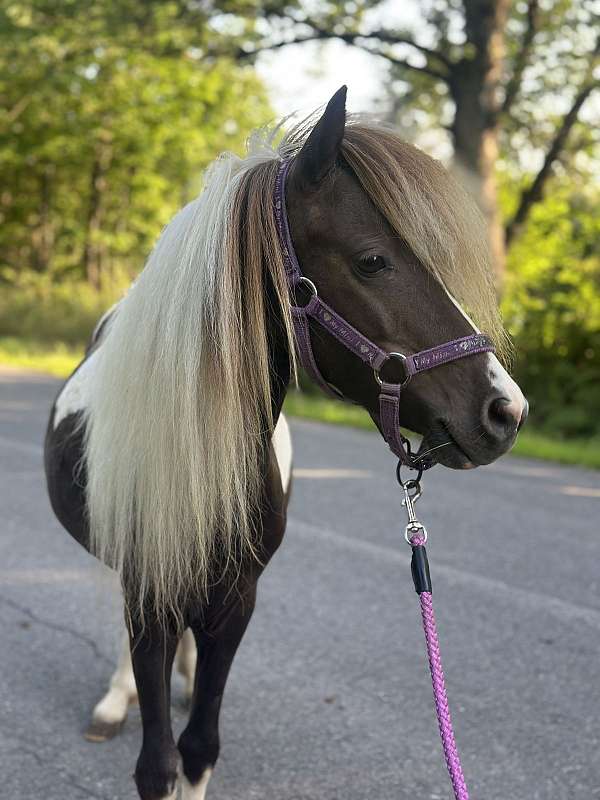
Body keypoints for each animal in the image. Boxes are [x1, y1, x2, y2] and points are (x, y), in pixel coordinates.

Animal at [44, 86, 527, 800]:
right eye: (372, 260)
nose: (505, 410)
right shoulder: (149, 592)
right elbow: (158, 763)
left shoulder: (237, 602)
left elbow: (199, 746)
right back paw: (116, 698)